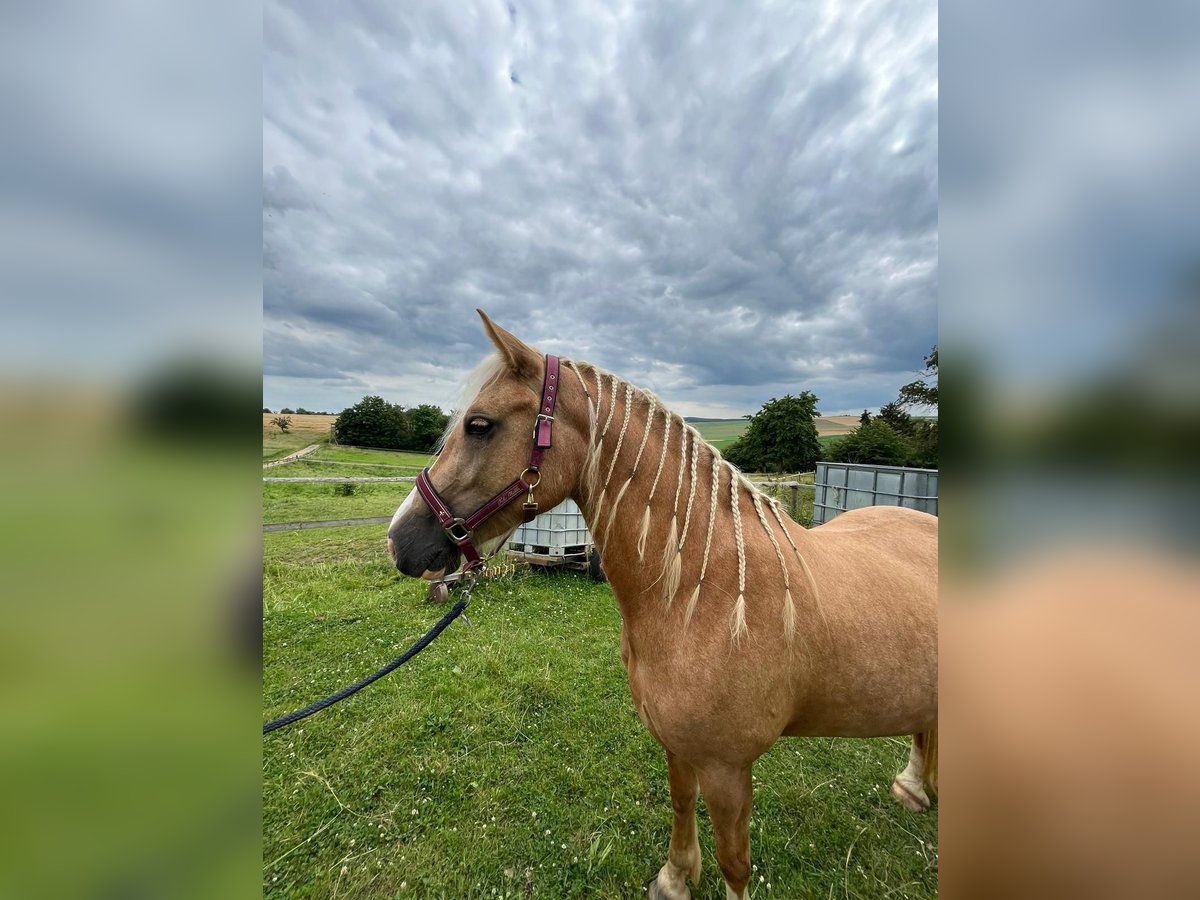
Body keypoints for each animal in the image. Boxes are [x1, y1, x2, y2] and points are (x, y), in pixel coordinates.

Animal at [386, 312, 936, 900]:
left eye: (479, 425)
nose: (399, 540)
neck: (707, 595)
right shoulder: (676, 744)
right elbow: (679, 801)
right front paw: (675, 879)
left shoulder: (726, 766)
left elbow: (734, 862)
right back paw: (913, 787)